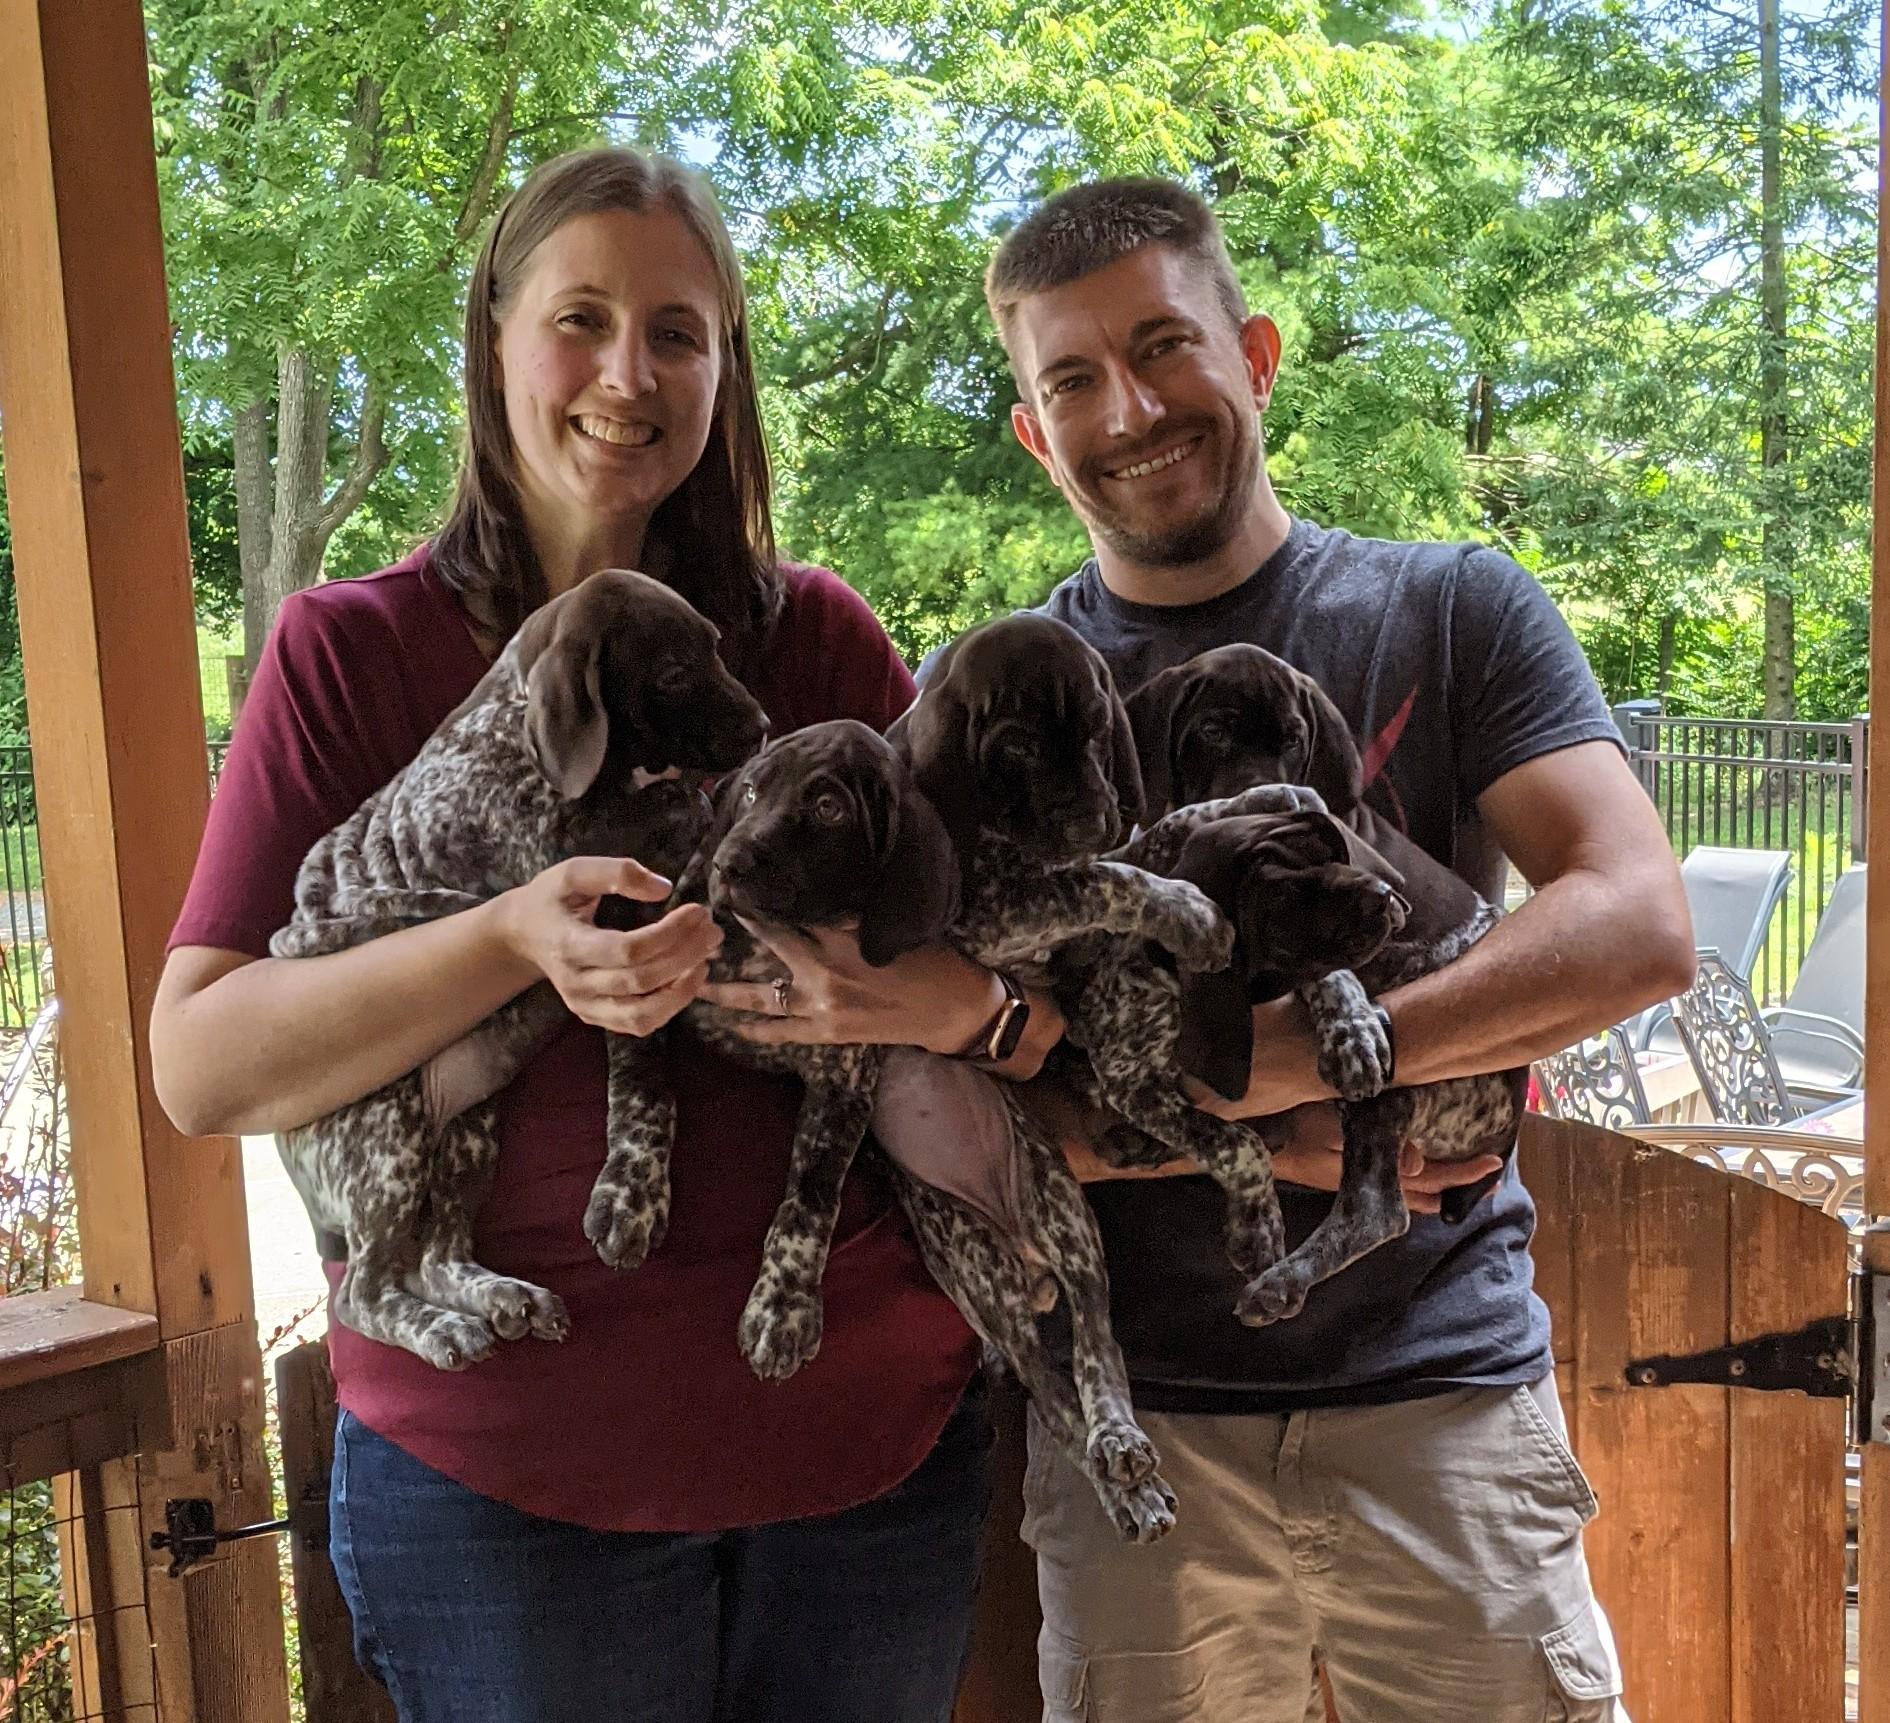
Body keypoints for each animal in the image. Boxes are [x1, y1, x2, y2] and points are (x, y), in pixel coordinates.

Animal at [270, 569, 767, 1369]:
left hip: (467, 1135)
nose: (761, 724)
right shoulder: (560, 850)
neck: (511, 721)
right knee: (364, 1293)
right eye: (672, 671)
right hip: (387, 1133)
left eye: (716, 646)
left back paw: (502, 1296)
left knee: (433, 1257)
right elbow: (673, 801)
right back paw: (439, 1327)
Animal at [680, 713, 1178, 1541]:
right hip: (980, 1278)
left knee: (1096, 1347)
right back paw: (1121, 1484)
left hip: (1065, 1216)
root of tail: (1025, 1254)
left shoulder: (844, 1067)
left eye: (827, 807)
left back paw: (1122, 1441)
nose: (729, 860)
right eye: (750, 791)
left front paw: (781, 1307)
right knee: (1054, 1399)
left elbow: (809, 1198)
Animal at [1126, 643, 1528, 1324]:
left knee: (1376, 1209)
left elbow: (1326, 960)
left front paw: (1349, 1028)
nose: (1261, 794)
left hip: (1398, 1095)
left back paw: (1281, 1278)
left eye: (1294, 738)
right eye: (1212, 731)